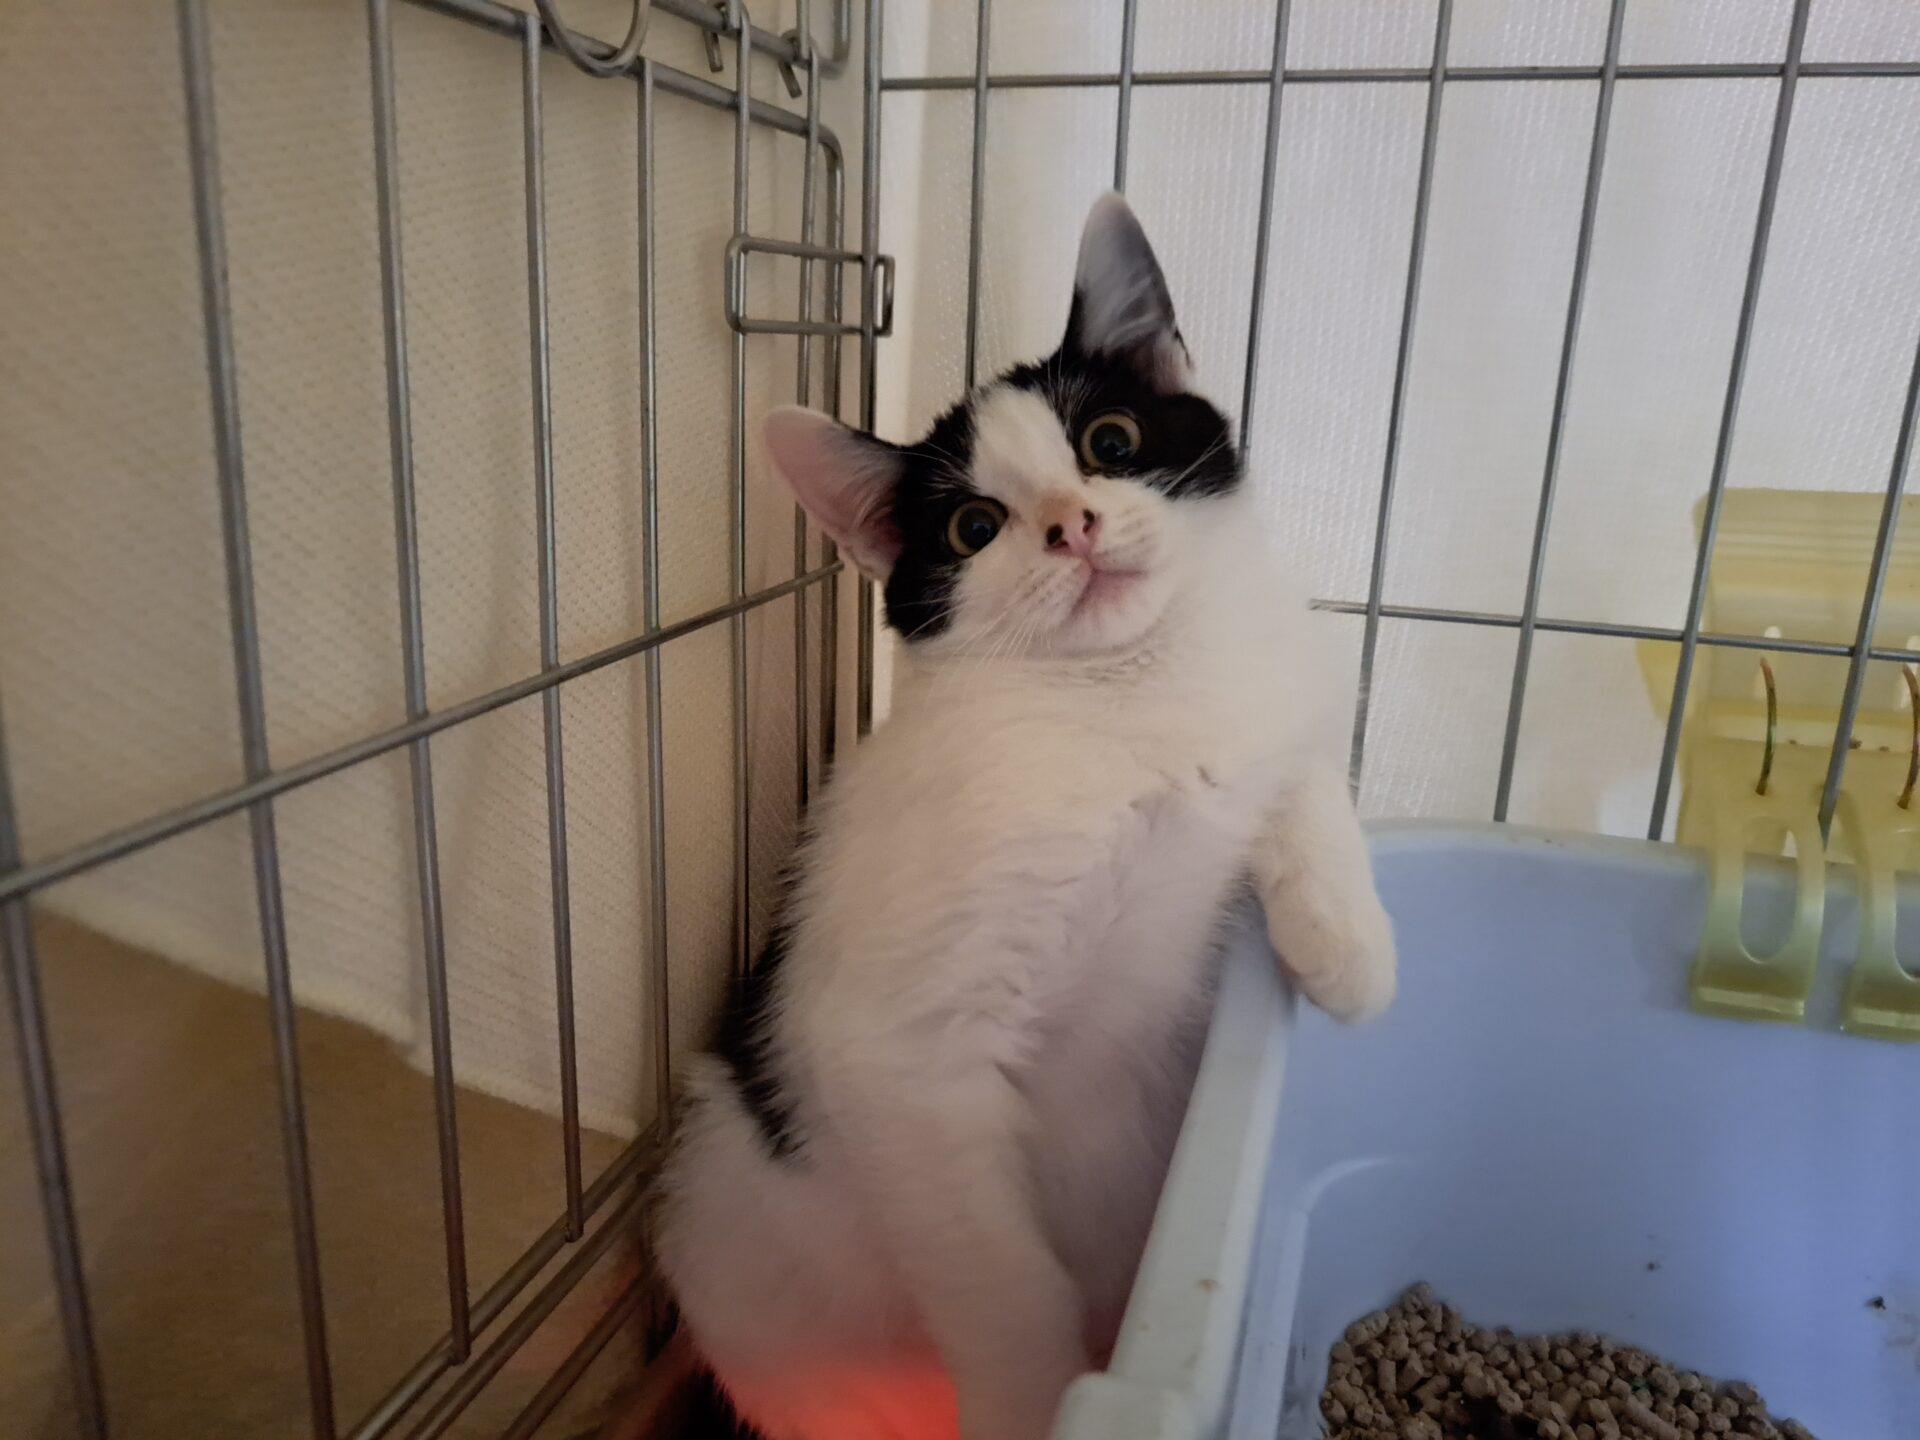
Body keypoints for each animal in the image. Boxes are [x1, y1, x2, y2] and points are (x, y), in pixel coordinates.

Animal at [649, 193, 1396, 1440]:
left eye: (1112, 445)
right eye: (974, 529)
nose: (1072, 526)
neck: (1127, 697)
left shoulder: (1264, 696)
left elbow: (1295, 768)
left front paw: (1348, 948)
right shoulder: (899, 1063)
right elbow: (1000, 1280)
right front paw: (1041, 1393)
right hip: (747, 1253)